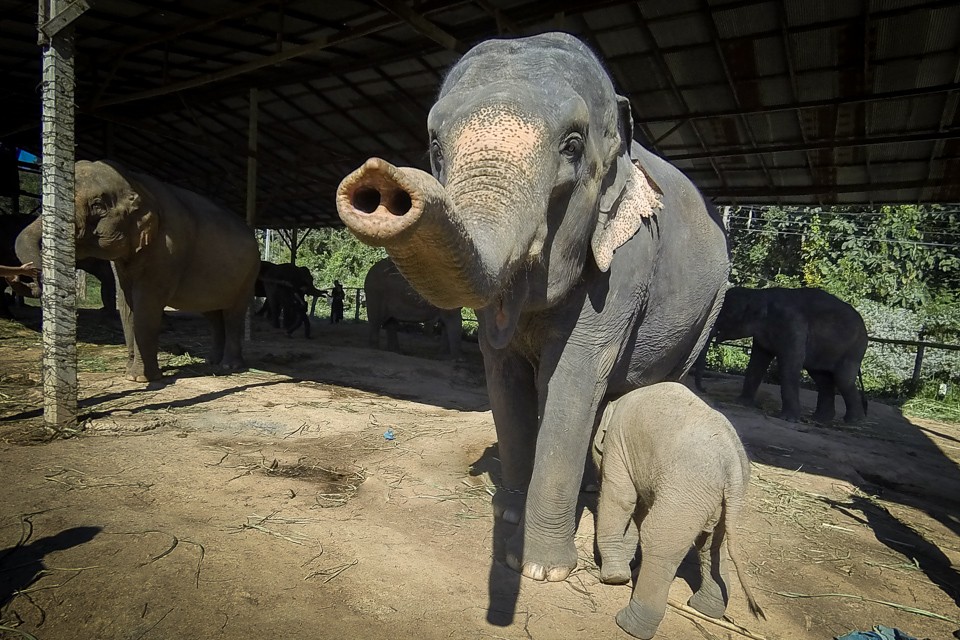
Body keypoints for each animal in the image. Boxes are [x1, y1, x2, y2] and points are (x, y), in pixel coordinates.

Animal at [74, 160, 260, 380]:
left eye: (97, 206)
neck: (136, 181)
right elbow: (127, 306)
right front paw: (129, 374)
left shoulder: (167, 250)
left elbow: (146, 306)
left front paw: (141, 378)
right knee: (213, 314)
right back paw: (211, 361)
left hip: (248, 275)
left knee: (233, 314)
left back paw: (230, 366)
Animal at [338, 32, 728, 584]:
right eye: (435, 145)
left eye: (573, 145)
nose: (380, 183)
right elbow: (503, 371)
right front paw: (509, 516)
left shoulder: (625, 262)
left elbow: (571, 376)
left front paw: (541, 569)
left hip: (710, 309)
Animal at [592, 382, 764, 636]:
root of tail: (731, 462)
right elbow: (638, 507)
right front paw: (626, 564)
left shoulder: (618, 441)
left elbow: (621, 498)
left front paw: (615, 577)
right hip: (720, 496)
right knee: (712, 543)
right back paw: (706, 609)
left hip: (687, 488)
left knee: (660, 541)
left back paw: (629, 625)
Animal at [704, 288, 872, 422]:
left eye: (728, 313)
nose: (703, 390)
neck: (760, 294)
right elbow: (757, 362)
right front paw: (740, 403)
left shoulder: (793, 325)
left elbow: (789, 365)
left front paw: (788, 419)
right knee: (822, 378)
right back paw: (820, 419)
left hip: (853, 349)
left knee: (842, 379)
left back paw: (854, 421)